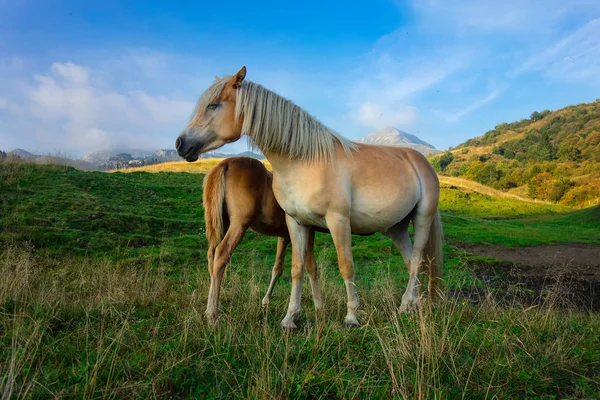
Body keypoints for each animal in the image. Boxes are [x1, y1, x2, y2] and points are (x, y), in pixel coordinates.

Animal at [202, 155, 324, 324]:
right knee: (221, 253)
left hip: (221, 223)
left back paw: (215, 305)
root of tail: (225, 164)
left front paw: (266, 302)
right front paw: (320, 307)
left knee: (211, 254)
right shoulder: (308, 231)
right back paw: (212, 314)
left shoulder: (285, 237)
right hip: (239, 223)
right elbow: (312, 266)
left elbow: (277, 268)